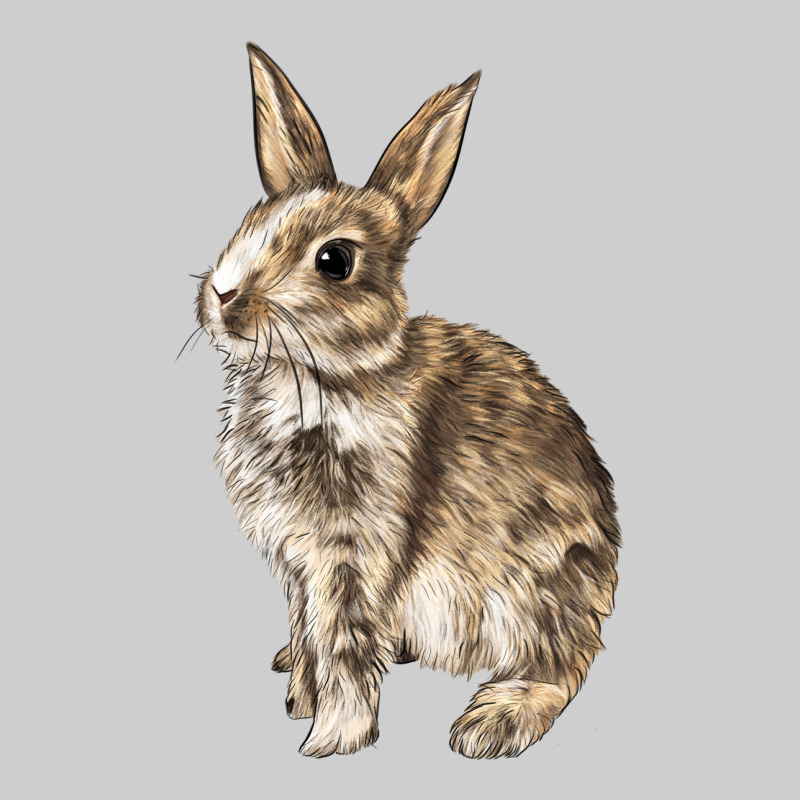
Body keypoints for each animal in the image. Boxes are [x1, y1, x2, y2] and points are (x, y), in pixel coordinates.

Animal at [194, 43, 620, 759]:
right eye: (248, 224)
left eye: (334, 260)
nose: (223, 296)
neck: (322, 377)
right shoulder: (299, 563)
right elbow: (309, 633)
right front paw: (298, 696)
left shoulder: (352, 553)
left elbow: (340, 645)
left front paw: (329, 740)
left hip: (531, 593)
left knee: (562, 668)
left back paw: (490, 723)